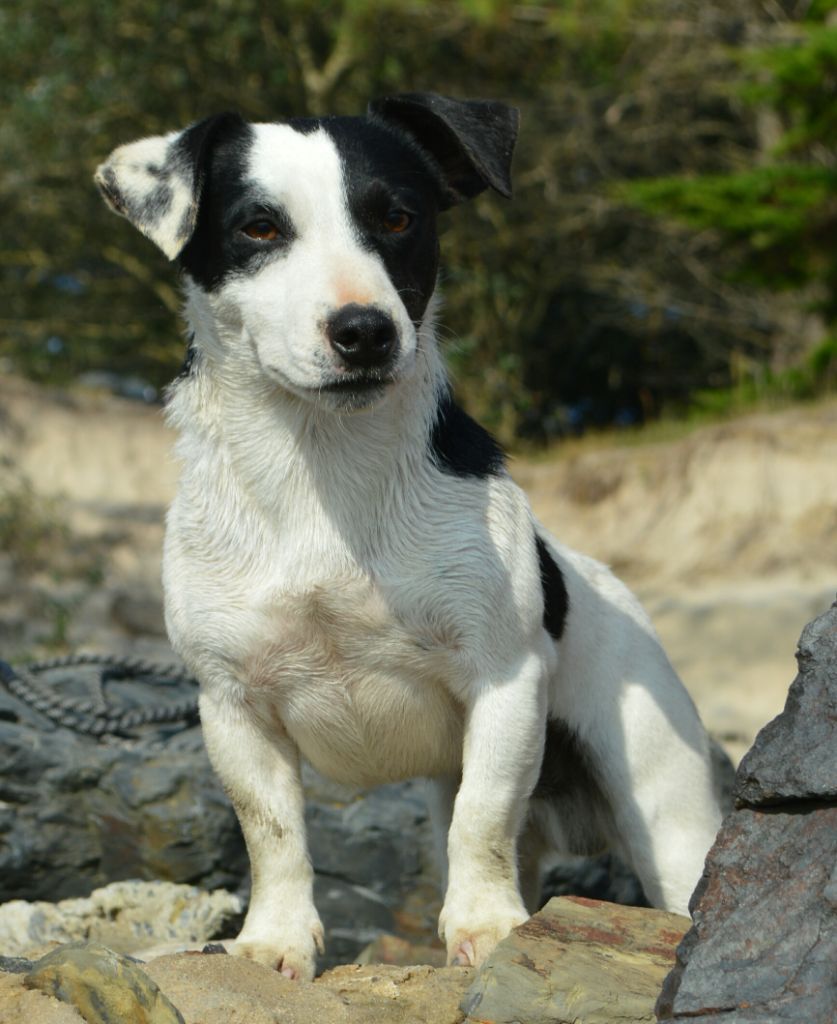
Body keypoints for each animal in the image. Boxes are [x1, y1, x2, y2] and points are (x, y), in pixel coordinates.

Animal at [94, 97, 721, 983]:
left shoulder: (501, 682)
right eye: (258, 227)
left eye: (397, 217)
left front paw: (487, 924)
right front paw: (273, 939)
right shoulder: (232, 706)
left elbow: (481, 819)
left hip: (665, 814)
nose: (364, 331)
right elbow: (272, 834)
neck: (324, 469)